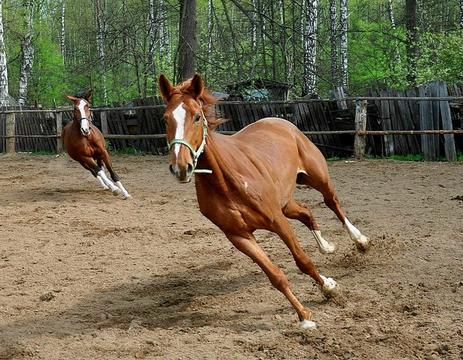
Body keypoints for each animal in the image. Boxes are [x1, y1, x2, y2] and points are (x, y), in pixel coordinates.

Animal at [160, 73, 370, 330]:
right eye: (165, 119)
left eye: (197, 116)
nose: (181, 167)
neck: (226, 182)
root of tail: (281, 122)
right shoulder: (239, 236)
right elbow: (275, 275)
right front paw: (304, 317)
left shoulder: (277, 221)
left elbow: (303, 261)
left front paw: (329, 288)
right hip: (286, 203)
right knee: (306, 212)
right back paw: (326, 246)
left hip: (317, 179)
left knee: (333, 203)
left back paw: (360, 240)